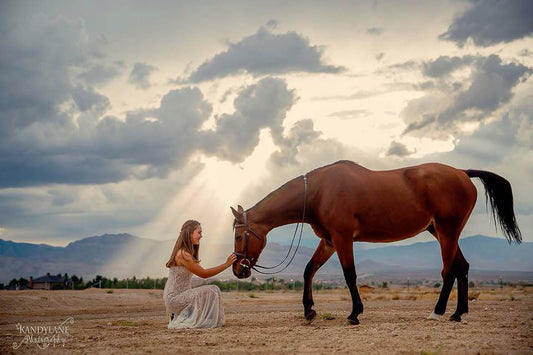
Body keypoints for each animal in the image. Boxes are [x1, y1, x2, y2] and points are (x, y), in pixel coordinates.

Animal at [230, 161, 520, 326]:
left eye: (238, 235)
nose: (237, 269)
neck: (317, 192)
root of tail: (462, 173)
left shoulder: (343, 238)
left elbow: (350, 275)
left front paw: (354, 314)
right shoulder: (329, 241)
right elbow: (309, 270)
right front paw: (309, 310)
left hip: (447, 232)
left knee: (449, 270)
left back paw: (437, 312)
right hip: (441, 232)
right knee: (462, 267)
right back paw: (458, 313)